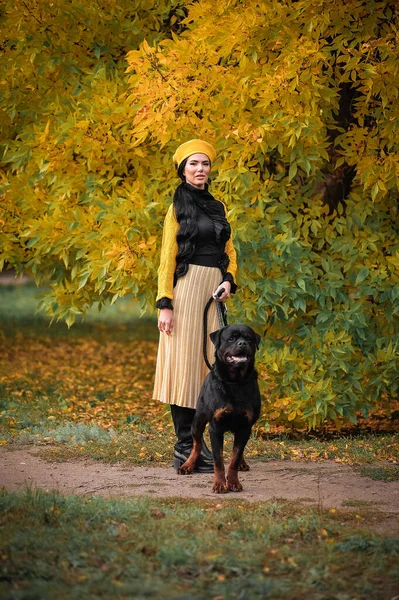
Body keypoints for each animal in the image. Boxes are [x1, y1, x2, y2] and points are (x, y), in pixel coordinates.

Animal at [179, 326, 260, 494]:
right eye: (231, 338)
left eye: (249, 339)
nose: (242, 343)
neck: (235, 382)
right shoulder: (215, 428)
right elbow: (218, 460)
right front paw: (220, 484)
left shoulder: (245, 427)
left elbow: (235, 457)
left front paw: (234, 482)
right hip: (198, 420)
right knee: (196, 444)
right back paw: (188, 465)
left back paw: (242, 463)